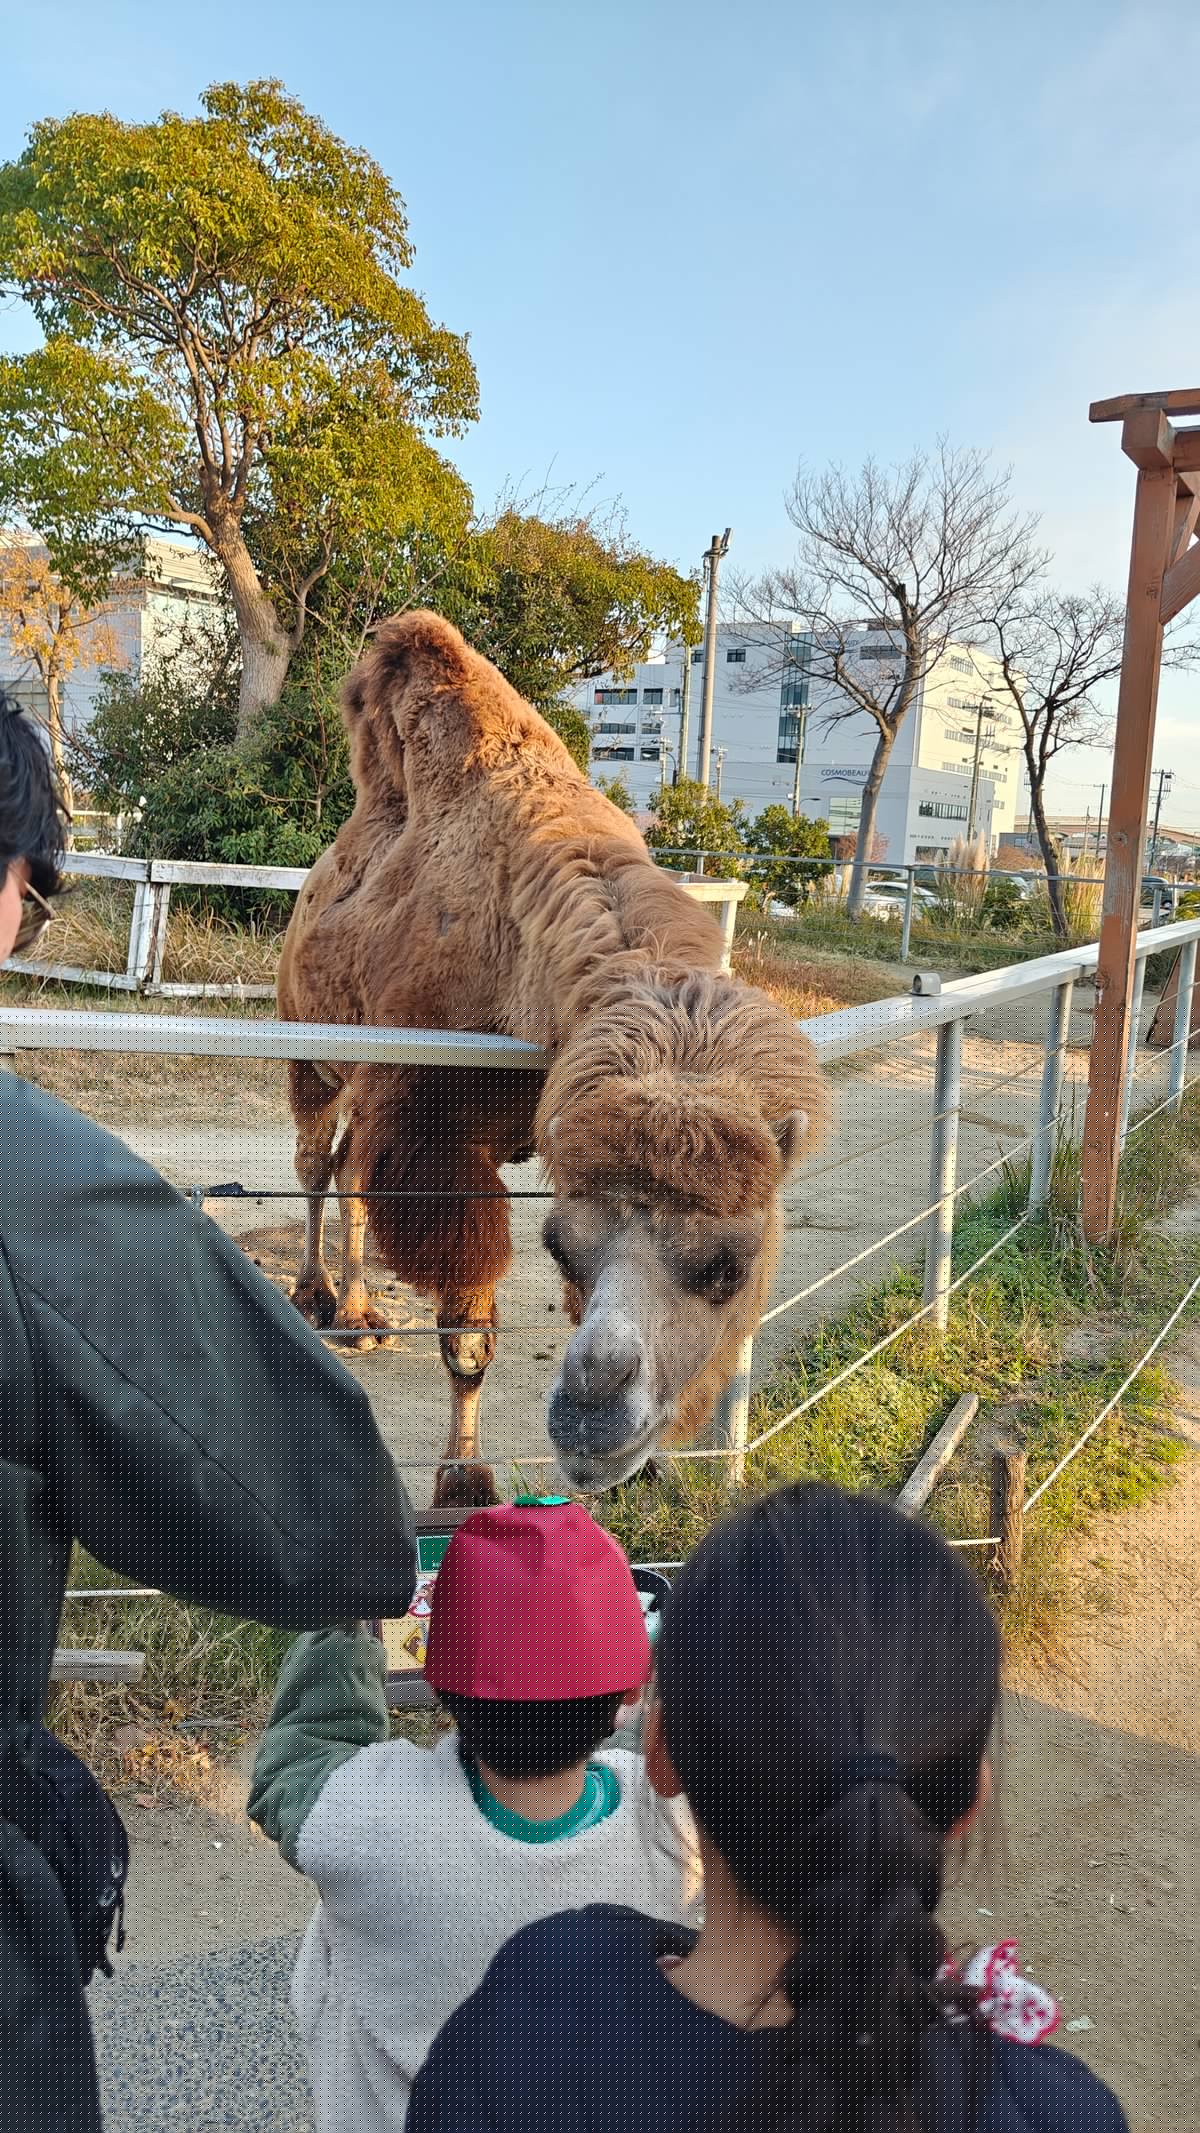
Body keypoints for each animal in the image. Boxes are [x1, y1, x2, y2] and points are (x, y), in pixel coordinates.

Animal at [277, 611, 827, 1502]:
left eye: (730, 1266)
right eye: (558, 1243)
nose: (593, 1420)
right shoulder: (438, 1135)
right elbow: (468, 1338)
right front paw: (463, 1484)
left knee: (353, 1169)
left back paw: (361, 1315)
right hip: (309, 1045)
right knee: (315, 1162)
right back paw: (318, 1295)